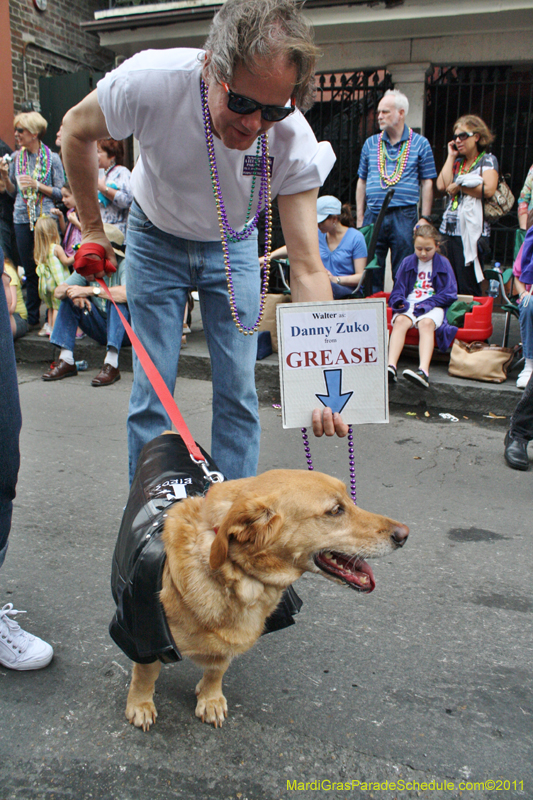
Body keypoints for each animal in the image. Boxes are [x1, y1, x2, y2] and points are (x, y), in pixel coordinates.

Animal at [116, 438, 408, 732]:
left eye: (349, 499)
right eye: (335, 510)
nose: (404, 535)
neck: (238, 577)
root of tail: (169, 434)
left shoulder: (229, 643)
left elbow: (217, 669)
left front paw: (210, 698)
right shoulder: (141, 637)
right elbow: (146, 673)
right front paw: (140, 704)